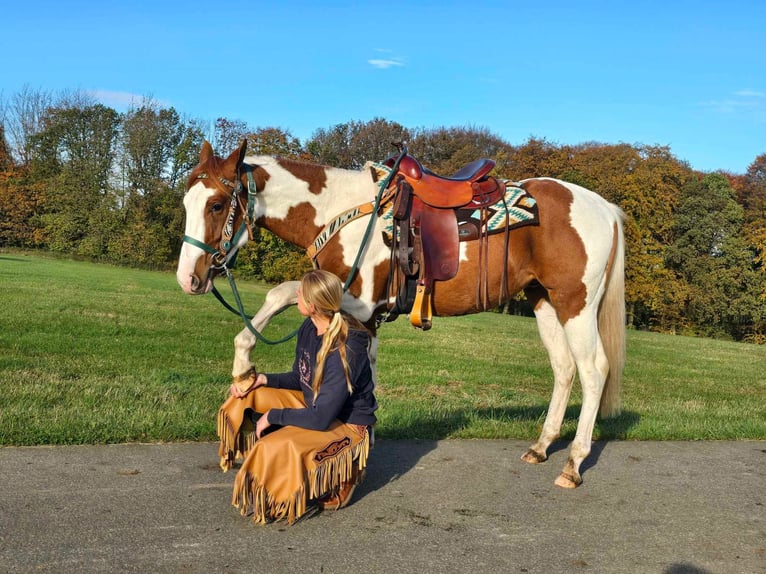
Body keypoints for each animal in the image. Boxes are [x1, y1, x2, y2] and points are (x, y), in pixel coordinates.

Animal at [177, 140, 628, 490]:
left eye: (216, 204)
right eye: (186, 203)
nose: (188, 278)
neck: (341, 212)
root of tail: (603, 207)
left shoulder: (359, 301)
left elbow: (289, 292)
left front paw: (243, 364)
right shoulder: (365, 315)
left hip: (575, 303)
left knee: (593, 371)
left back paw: (573, 463)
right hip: (544, 302)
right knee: (564, 368)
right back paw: (541, 446)